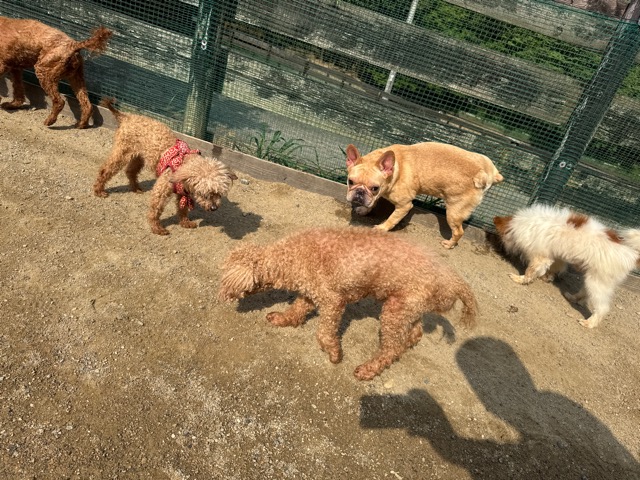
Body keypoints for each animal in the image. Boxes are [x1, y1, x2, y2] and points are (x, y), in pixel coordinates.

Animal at [93, 99, 237, 235]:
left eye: (219, 193)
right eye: (205, 192)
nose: (214, 208)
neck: (183, 165)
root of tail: (126, 116)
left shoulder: (183, 193)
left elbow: (183, 208)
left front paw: (185, 222)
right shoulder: (161, 189)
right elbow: (155, 209)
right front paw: (157, 228)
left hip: (138, 157)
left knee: (130, 171)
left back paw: (136, 188)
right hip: (122, 153)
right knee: (105, 170)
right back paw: (99, 191)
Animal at [218, 227, 477, 380]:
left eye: (225, 281)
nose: (220, 295)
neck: (290, 257)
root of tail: (450, 278)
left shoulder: (333, 301)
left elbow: (324, 333)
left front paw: (334, 354)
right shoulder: (310, 293)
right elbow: (297, 309)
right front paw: (283, 319)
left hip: (394, 312)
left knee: (391, 347)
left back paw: (368, 369)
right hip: (405, 306)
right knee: (414, 333)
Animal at [345, 142, 504, 248]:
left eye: (374, 188)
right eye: (350, 181)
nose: (359, 192)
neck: (396, 169)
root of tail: (487, 174)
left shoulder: (404, 206)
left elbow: (392, 219)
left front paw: (382, 228)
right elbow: (373, 203)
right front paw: (364, 210)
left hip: (453, 213)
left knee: (459, 231)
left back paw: (449, 244)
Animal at [494, 204, 640, 328]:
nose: (501, 249)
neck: (523, 223)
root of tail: (632, 254)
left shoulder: (541, 256)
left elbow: (531, 270)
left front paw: (520, 279)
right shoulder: (556, 256)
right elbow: (553, 267)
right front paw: (547, 277)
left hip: (598, 282)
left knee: (602, 308)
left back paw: (589, 323)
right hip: (592, 278)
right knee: (585, 292)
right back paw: (573, 297)